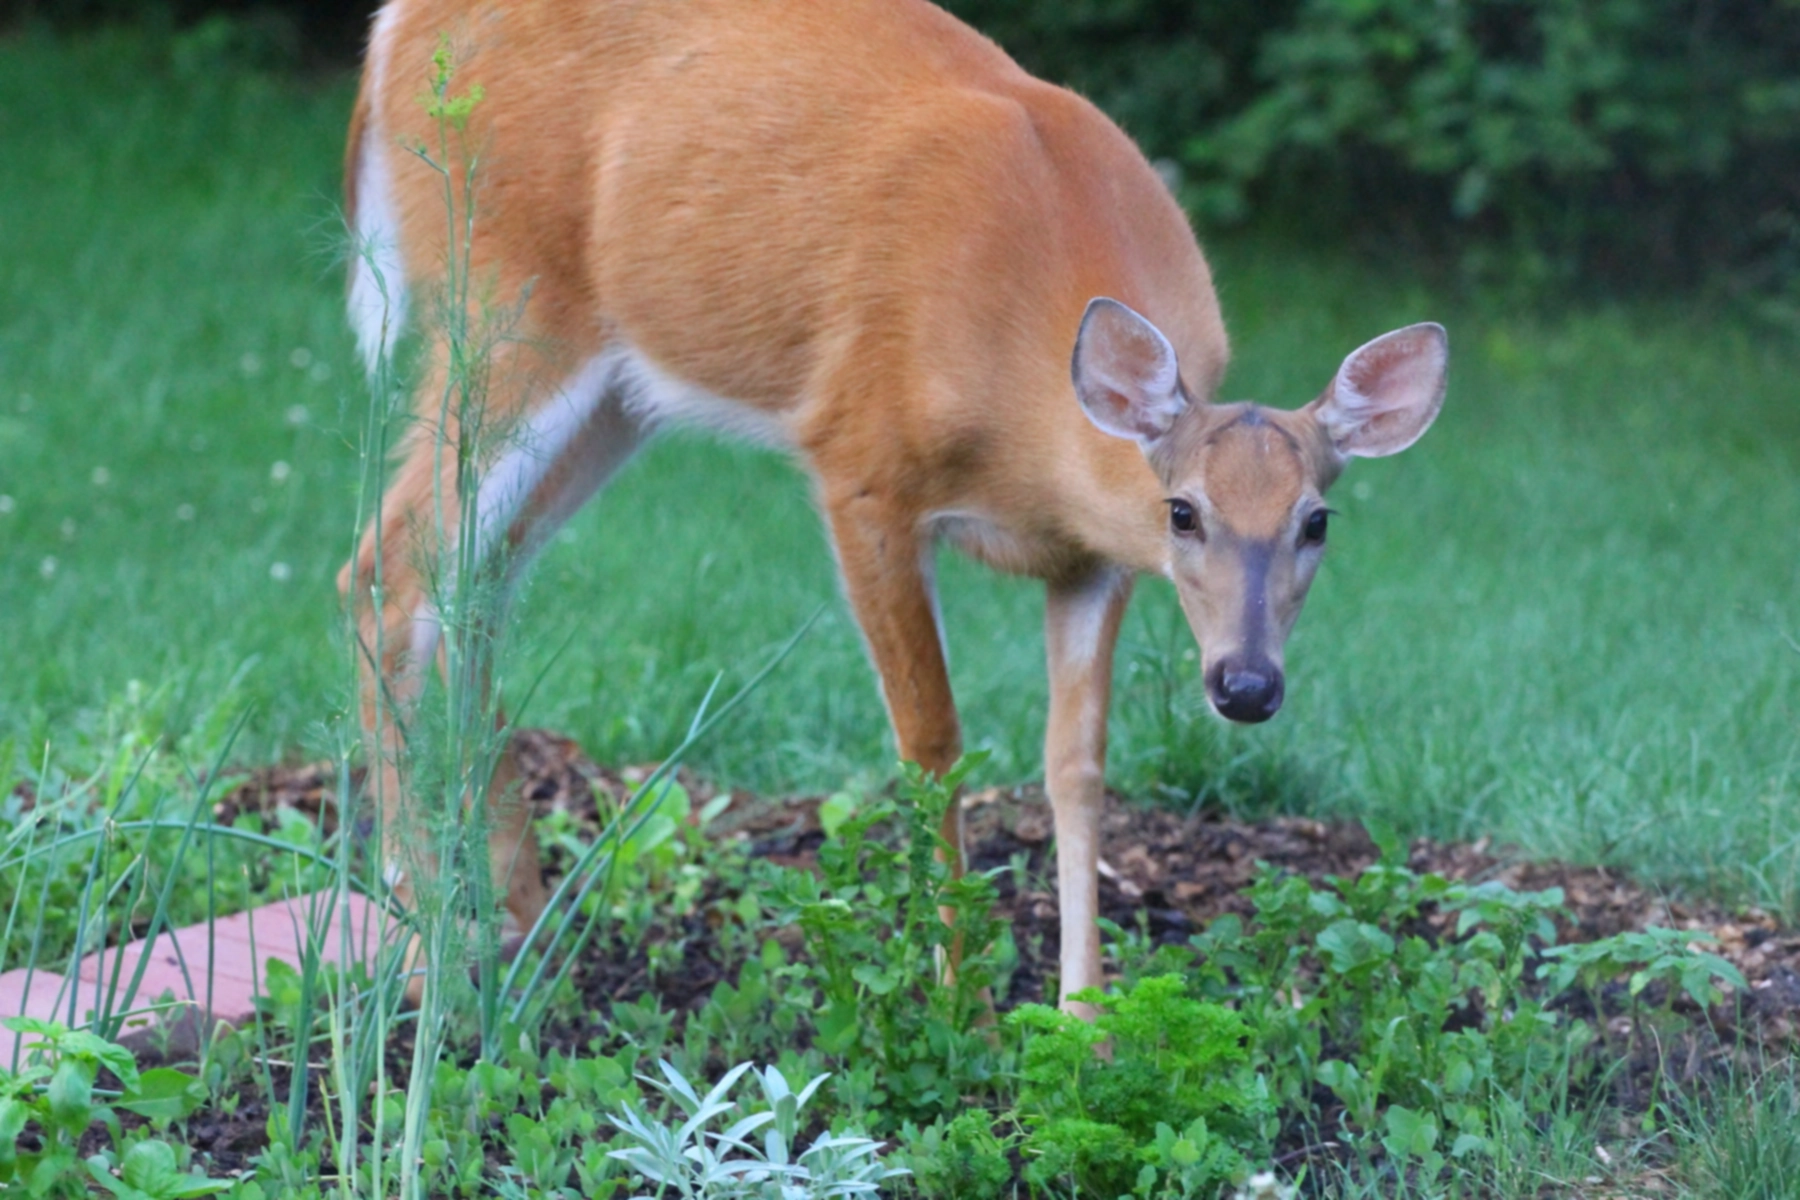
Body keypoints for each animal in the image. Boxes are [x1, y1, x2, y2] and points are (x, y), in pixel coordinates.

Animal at [340, 0, 1447, 1021]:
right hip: (508, 294)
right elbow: (932, 741)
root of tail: (392, 30)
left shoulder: (1092, 561)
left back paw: (522, 924)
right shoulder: (860, 466)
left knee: (477, 581)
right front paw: (959, 1006)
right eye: (1183, 512)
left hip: (617, 389)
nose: (1247, 685)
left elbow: (1077, 766)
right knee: (389, 563)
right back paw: (422, 947)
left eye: (1317, 522)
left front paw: (1085, 1022)